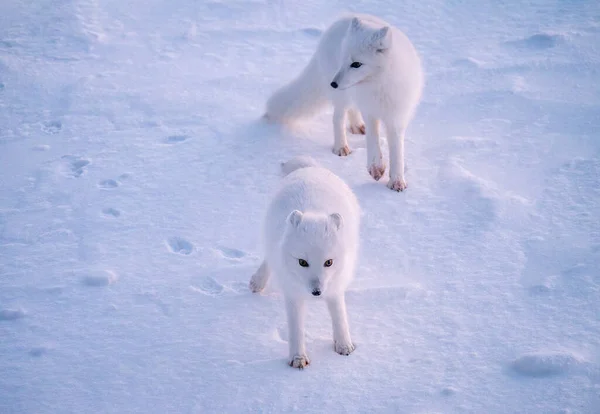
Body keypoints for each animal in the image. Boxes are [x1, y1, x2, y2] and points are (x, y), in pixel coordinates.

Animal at [250, 156, 360, 368]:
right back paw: (257, 281)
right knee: (269, 258)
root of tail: (311, 169)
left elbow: (339, 316)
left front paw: (344, 345)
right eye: (302, 262)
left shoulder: (335, 286)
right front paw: (297, 358)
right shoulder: (292, 293)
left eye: (328, 262)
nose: (316, 292)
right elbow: (296, 328)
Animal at [264, 14, 424, 192]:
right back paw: (341, 146)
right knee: (338, 118)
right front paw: (375, 167)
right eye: (344, 61)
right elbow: (373, 139)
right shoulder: (369, 110)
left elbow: (397, 149)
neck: (378, 86)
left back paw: (356, 127)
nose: (333, 84)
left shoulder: (397, 116)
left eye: (356, 64)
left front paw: (397, 180)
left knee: (351, 110)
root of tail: (339, 20)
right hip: (343, 96)